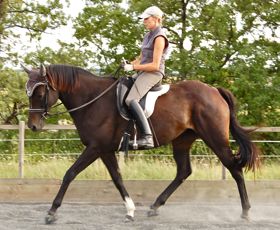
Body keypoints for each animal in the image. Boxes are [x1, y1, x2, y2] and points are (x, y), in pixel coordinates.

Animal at [23, 63, 260, 224]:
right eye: (28, 93)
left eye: (41, 92)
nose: (33, 126)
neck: (92, 99)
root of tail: (214, 90)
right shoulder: (105, 150)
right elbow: (117, 178)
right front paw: (130, 210)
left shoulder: (95, 147)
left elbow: (70, 173)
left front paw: (51, 212)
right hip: (182, 141)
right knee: (183, 171)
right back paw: (155, 206)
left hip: (215, 139)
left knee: (235, 169)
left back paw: (246, 212)